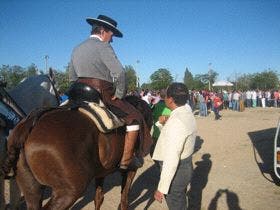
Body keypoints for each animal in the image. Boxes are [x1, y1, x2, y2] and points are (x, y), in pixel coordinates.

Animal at [0, 95, 153, 210]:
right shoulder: (131, 170)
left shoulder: (101, 172)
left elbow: (99, 197)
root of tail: (30, 123)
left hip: (32, 189)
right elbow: (124, 200)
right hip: (68, 192)